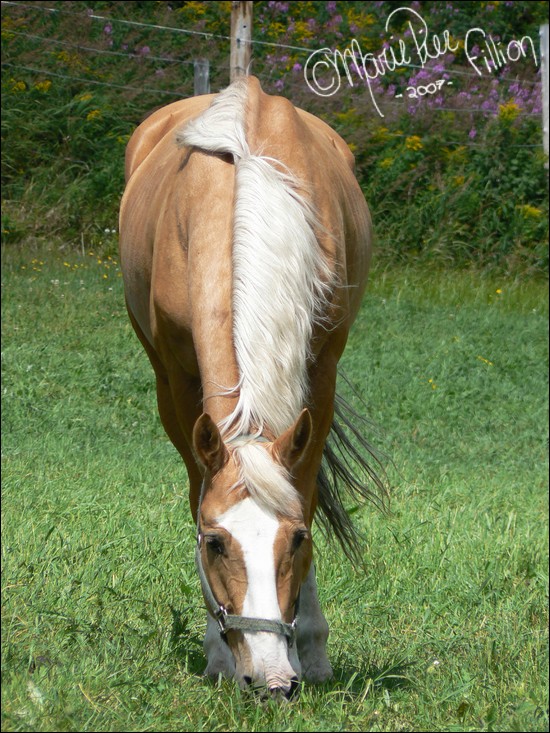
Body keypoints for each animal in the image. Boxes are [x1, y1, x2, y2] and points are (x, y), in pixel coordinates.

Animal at [119, 76, 380, 696]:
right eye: (215, 543)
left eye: (298, 540)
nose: (271, 679)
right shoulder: (178, 386)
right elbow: (198, 489)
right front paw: (218, 654)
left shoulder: (322, 372)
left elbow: (303, 487)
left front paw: (311, 651)